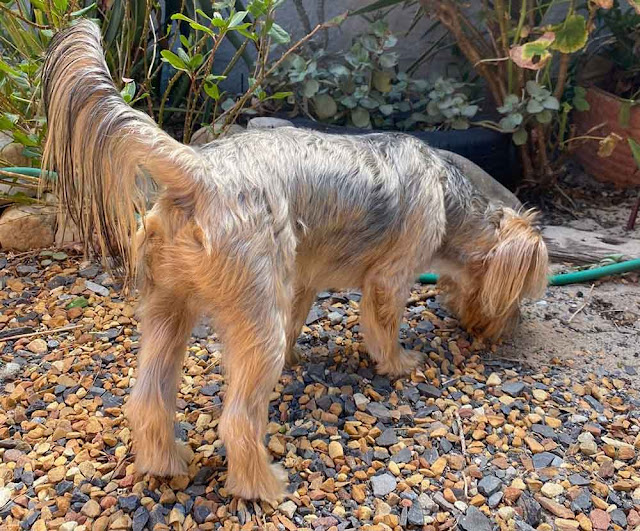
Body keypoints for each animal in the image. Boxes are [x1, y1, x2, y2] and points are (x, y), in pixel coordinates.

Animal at [42, 19, 548, 502]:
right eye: (520, 295)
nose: (510, 332)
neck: (449, 197)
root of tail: (199, 173)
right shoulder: (390, 278)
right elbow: (384, 327)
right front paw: (399, 362)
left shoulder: (301, 280)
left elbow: (298, 319)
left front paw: (297, 355)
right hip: (253, 308)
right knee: (238, 420)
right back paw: (263, 486)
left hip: (170, 306)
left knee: (148, 399)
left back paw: (165, 462)